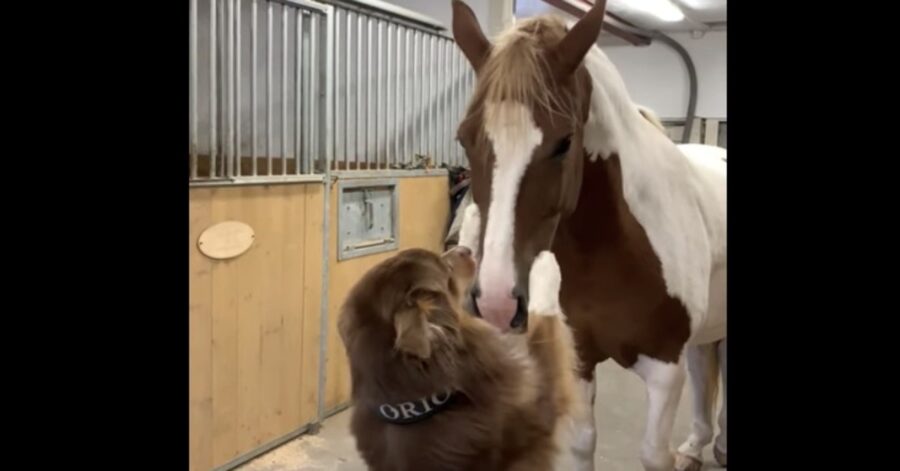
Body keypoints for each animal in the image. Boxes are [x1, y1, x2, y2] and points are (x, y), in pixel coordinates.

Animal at [448, 1, 724, 470]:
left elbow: (654, 454)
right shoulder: (579, 359)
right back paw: (697, 445)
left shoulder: (665, 370)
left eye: (564, 142)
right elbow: (581, 442)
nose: (497, 302)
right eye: (465, 138)